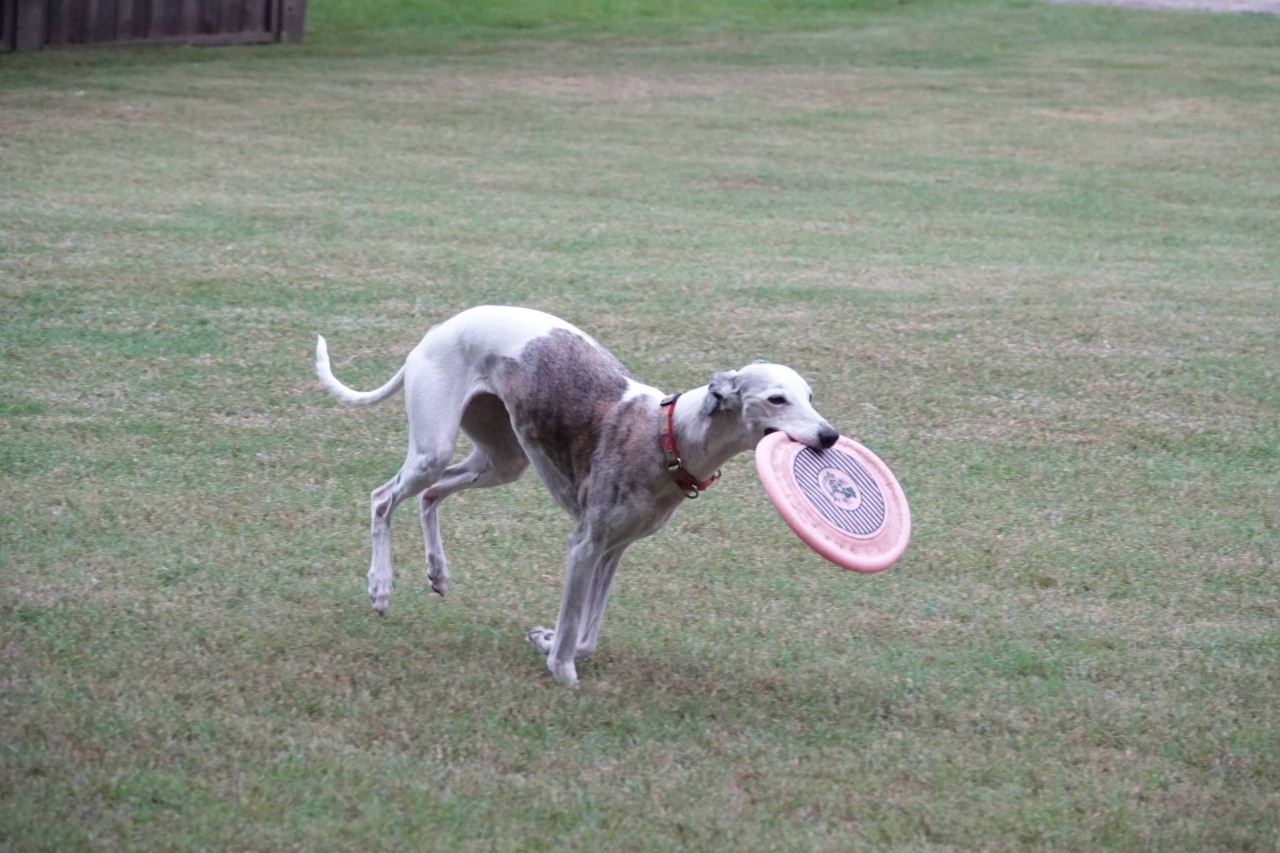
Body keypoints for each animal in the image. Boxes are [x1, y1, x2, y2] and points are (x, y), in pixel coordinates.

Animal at [317, 306, 839, 686]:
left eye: (811, 396)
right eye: (776, 399)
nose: (830, 436)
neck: (667, 437)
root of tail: (439, 329)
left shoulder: (613, 550)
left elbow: (585, 634)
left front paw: (544, 639)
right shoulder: (585, 544)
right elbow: (573, 630)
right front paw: (562, 670)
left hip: (502, 459)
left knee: (431, 495)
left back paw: (437, 571)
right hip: (434, 447)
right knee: (382, 497)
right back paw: (380, 587)